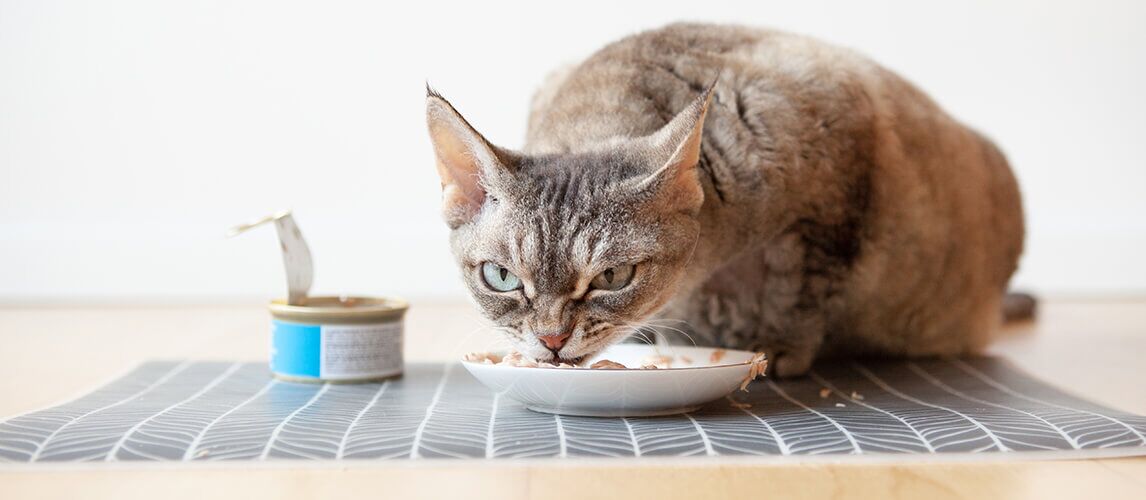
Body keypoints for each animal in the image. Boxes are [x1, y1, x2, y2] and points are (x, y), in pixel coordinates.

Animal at [426, 22, 1026, 376]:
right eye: (501, 278)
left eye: (612, 278)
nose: (551, 340)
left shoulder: (836, 199)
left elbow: (803, 292)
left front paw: (780, 348)